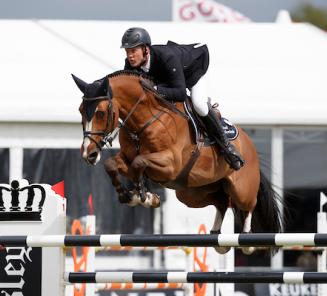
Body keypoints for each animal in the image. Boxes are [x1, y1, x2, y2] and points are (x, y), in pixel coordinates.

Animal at [73, 71, 284, 254]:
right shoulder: (127, 158)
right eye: (81, 110)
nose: (88, 154)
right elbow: (112, 164)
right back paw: (217, 238)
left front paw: (143, 195)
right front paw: (131, 194)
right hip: (191, 193)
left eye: (100, 113)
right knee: (222, 201)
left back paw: (247, 241)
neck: (144, 120)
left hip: (241, 190)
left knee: (248, 204)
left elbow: (139, 163)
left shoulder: (170, 165)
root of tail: (248, 144)